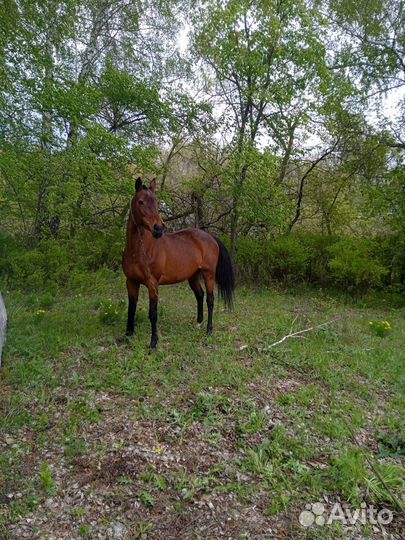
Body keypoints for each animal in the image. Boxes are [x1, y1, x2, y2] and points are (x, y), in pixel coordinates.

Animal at [120, 177, 234, 350]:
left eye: (156, 201)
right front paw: (128, 335)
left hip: (208, 275)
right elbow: (131, 308)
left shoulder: (153, 284)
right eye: (141, 202)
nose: (159, 228)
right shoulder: (131, 282)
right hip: (193, 276)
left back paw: (209, 330)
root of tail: (210, 237)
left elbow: (153, 313)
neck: (140, 250)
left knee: (210, 300)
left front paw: (153, 342)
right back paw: (198, 323)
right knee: (200, 295)